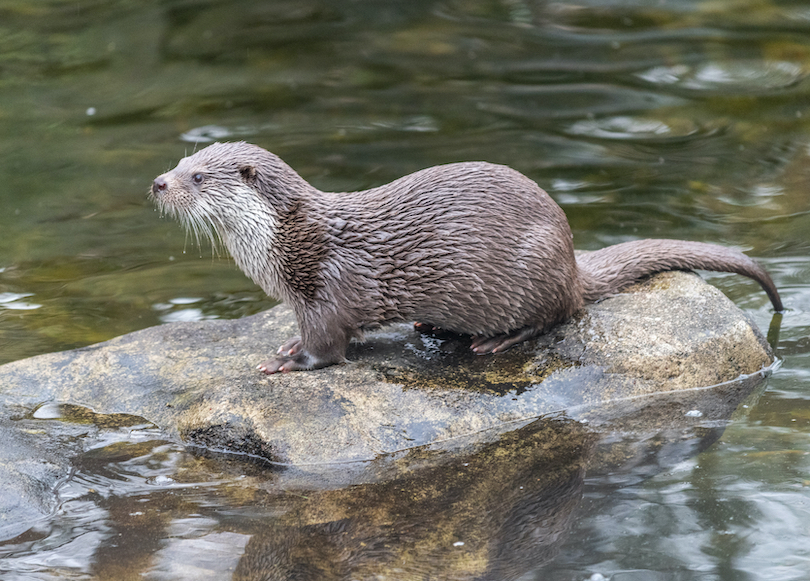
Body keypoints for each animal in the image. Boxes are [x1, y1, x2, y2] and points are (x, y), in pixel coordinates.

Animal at [152, 140, 784, 372]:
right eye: (181, 161)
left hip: (535, 269)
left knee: (559, 315)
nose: (158, 182)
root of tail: (571, 259)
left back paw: (494, 341)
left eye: (198, 176)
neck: (286, 242)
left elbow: (329, 347)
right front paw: (285, 344)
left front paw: (289, 360)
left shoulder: (328, 290)